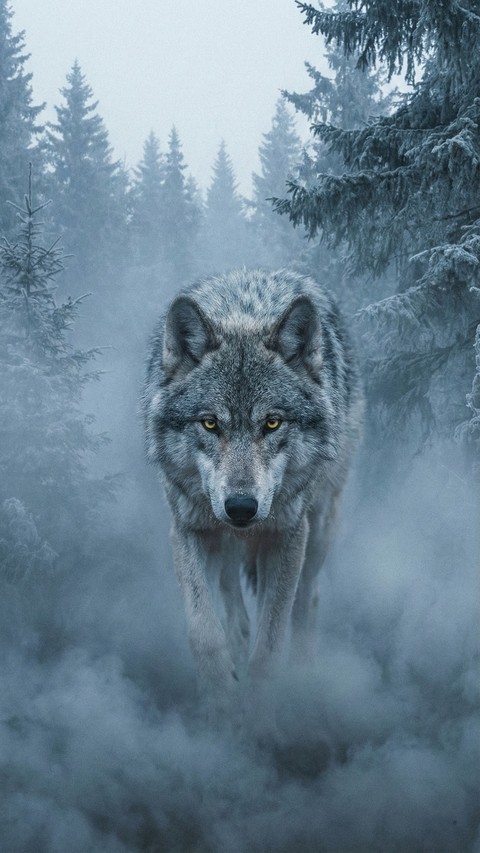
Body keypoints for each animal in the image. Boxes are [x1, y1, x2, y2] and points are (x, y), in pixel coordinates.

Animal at [144, 269, 363, 709]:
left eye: (272, 423)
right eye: (210, 423)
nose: (241, 506)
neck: (242, 314)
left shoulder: (287, 534)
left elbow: (271, 641)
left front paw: (261, 711)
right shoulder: (188, 528)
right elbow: (204, 631)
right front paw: (220, 703)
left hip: (319, 528)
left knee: (307, 600)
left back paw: (303, 680)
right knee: (233, 597)